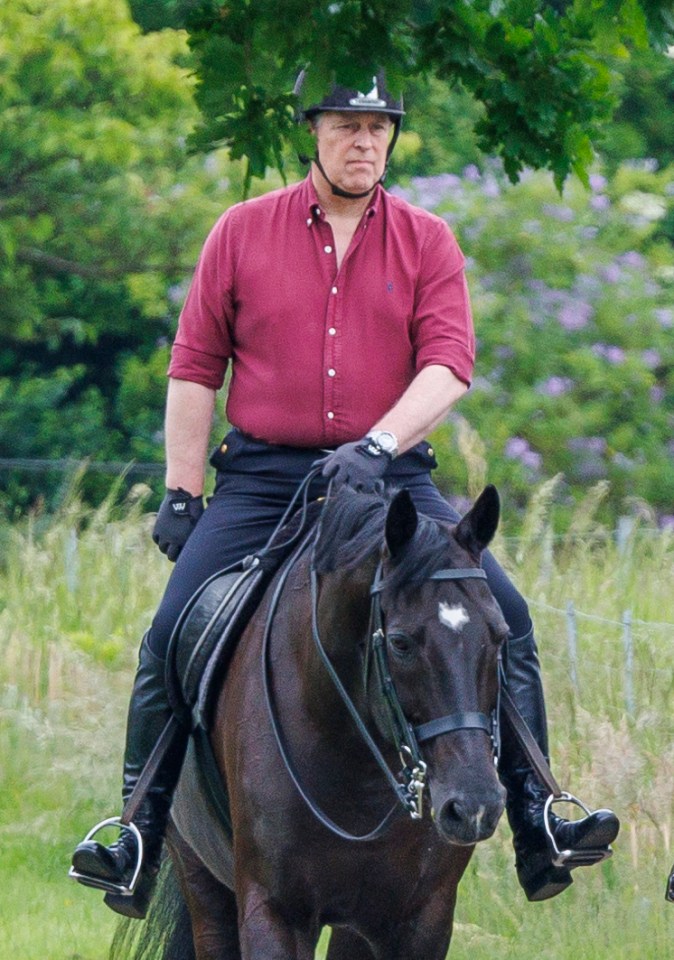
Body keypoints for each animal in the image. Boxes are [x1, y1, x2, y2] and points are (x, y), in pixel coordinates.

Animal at [114, 488, 504, 960]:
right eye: (400, 643)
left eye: (500, 635)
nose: (474, 806)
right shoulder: (275, 912)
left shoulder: (420, 922)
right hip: (201, 879)